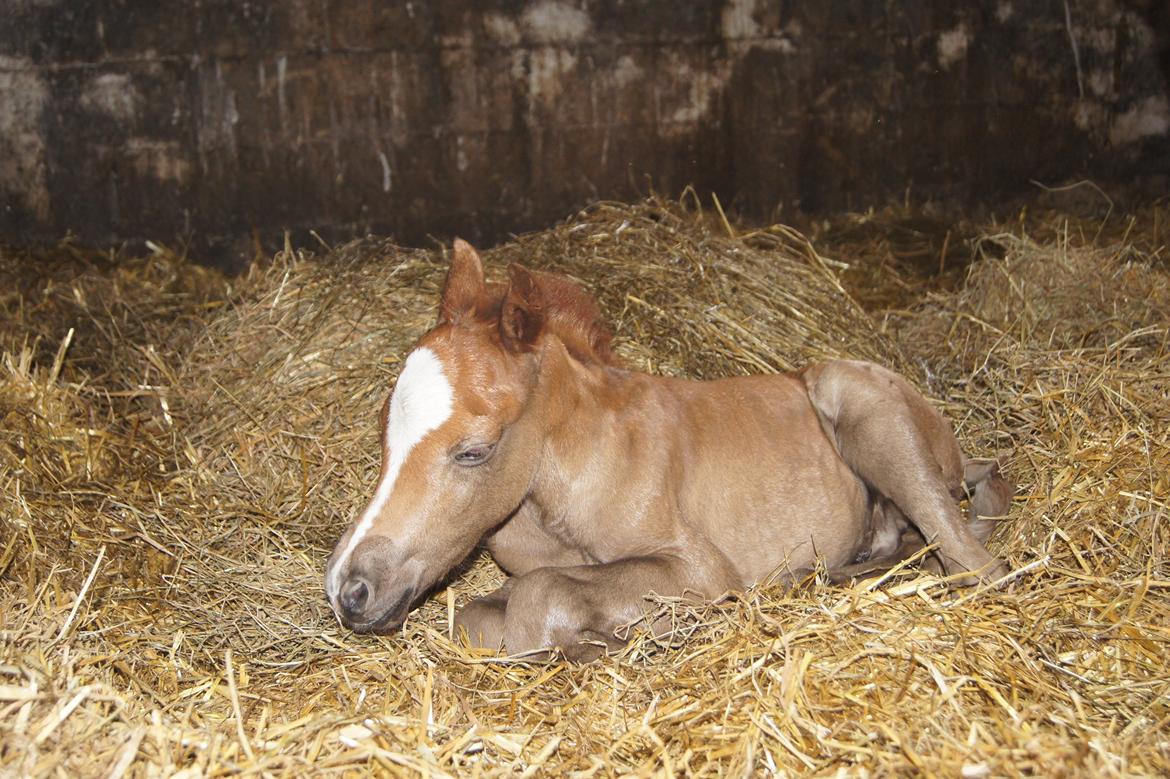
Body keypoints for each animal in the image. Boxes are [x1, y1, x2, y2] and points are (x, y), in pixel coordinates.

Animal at [325, 239, 1011, 661]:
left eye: (474, 451)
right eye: (385, 434)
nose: (349, 591)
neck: (554, 489)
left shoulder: (700, 569)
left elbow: (543, 594)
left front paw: (604, 641)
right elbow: (480, 616)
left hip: (874, 420)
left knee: (972, 559)